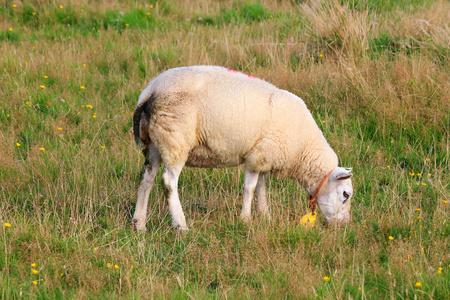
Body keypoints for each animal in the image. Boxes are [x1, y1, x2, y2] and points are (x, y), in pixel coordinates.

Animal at [132, 64, 354, 231]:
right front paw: (245, 219)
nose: (344, 226)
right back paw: (180, 225)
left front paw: (265, 216)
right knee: (169, 181)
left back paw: (139, 223)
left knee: (147, 178)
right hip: (176, 139)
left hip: (156, 141)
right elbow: (250, 188)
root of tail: (150, 91)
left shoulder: (265, 157)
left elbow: (262, 189)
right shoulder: (256, 158)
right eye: (346, 195)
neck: (303, 150)